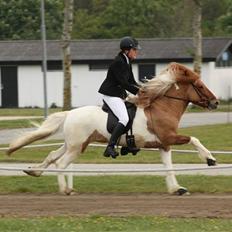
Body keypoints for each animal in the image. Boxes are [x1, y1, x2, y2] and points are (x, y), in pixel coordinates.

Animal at [5, 62, 219, 195]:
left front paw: (177, 189)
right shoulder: (170, 137)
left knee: (52, 156)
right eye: (200, 85)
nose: (215, 102)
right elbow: (193, 139)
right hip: (77, 147)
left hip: (72, 144)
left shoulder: (163, 144)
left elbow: (169, 167)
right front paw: (210, 159)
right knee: (61, 163)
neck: (162, 108)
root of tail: (69, 114)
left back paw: (34, 172)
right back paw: (66, 190)